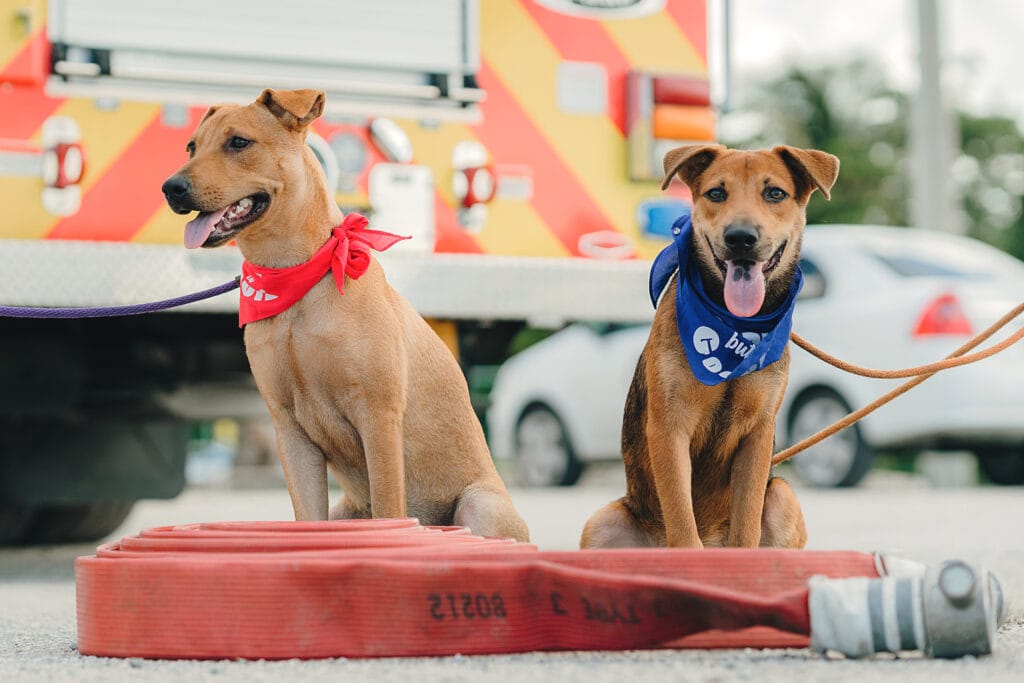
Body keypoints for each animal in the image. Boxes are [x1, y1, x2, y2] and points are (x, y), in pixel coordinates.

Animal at [161, 88, 528, 540]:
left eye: (239, 142)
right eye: (191, 147)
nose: (171, 188)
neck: (296, 278)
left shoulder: (378, 417)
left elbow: (389, 509)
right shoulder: (291, 432)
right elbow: (306, 518)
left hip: (480, 506)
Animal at [581, 144, 835, 548]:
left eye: (774, 193)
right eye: (716, 193)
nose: (740, 238)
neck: (733, 325)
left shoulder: (757, 434)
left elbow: (746, 527)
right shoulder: (669, 429)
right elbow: (683, 525)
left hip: (783, 495)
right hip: (601, 522)